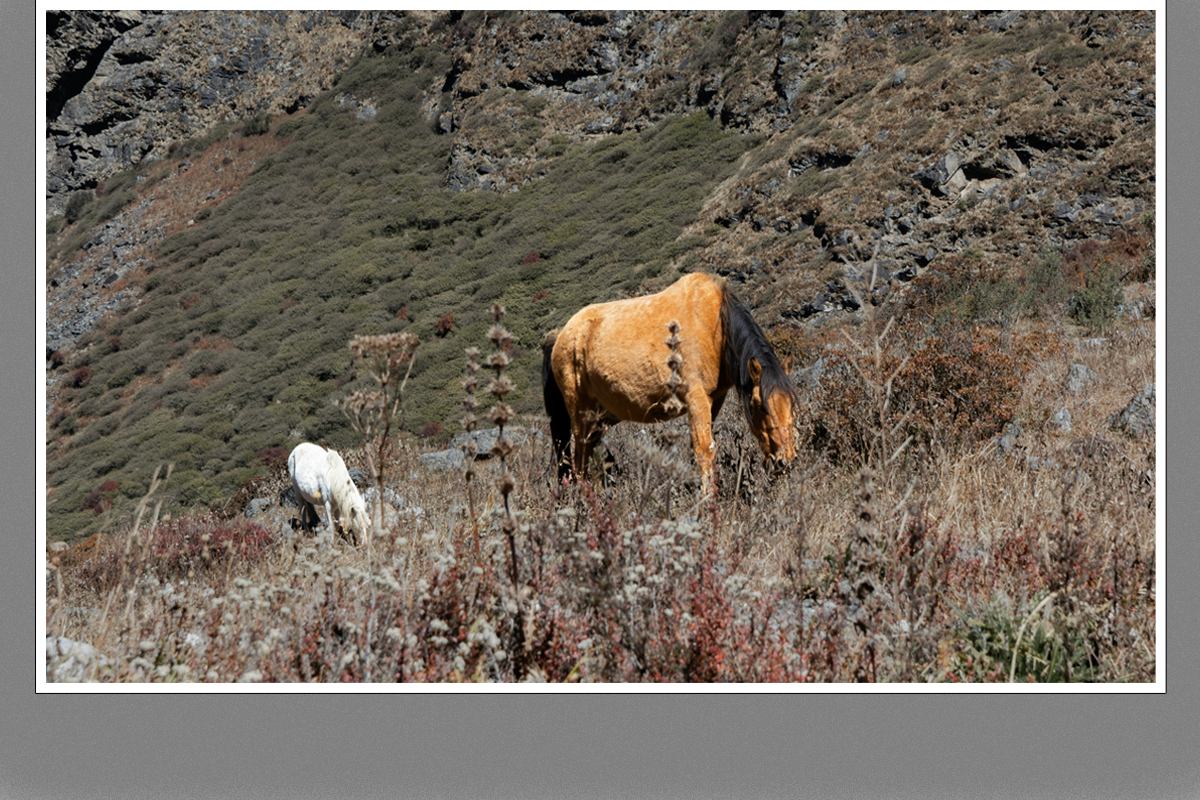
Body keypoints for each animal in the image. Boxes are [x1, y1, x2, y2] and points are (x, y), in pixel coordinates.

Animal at [544, 272, 796, 491]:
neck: (714, 328)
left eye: (791, 405)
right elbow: (704, 451)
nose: (785, 461)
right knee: (579, 463)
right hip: (581, 416)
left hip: (598, 419)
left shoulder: (712, 402)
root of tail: (560, 335)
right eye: (760, 406)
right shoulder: (696, 400)